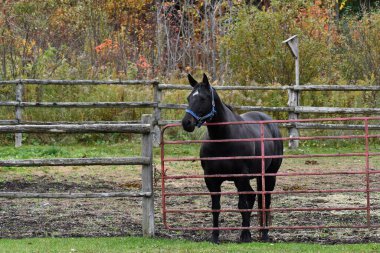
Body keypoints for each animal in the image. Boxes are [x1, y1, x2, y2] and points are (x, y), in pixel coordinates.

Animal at [181, 73, 282, 243]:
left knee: (265, 200)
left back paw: (264, 234)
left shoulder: (240, 177)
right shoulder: (211, 179)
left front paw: (245, 236)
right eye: (189, 97)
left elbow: (242, 205)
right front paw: (215, 236)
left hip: (269, 175)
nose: (186, 123)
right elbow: (216, 208)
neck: (223, 138)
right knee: (253, 196)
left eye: (203, 98)